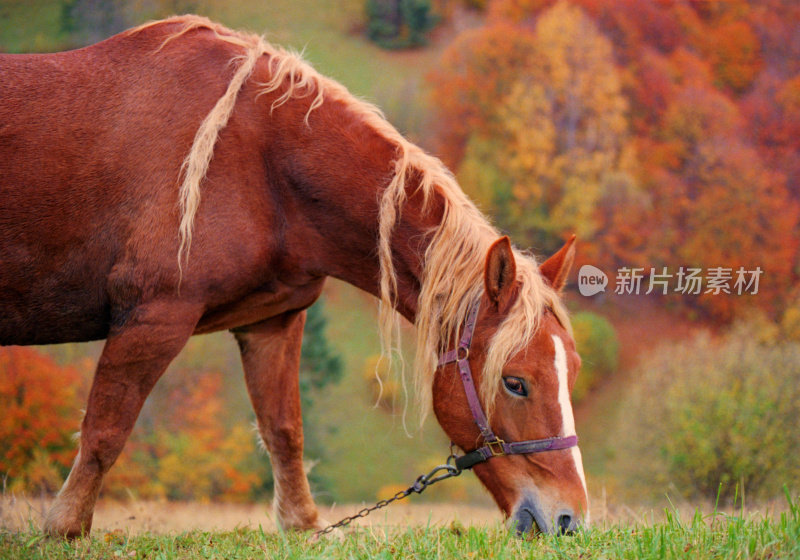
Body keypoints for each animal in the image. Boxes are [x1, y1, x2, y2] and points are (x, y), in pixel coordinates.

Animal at [0, 15, 588, 536]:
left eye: (572, 373)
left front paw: (302, 524)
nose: (569, 520)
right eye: (515, 382)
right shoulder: (153, 317)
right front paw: (65, 527)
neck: (260, 159)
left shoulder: (273, 322)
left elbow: (284, 431)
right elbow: (105, 430)